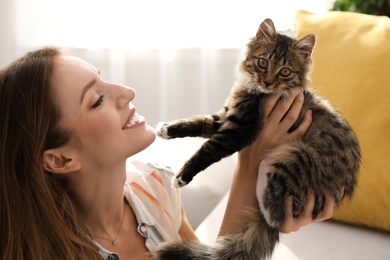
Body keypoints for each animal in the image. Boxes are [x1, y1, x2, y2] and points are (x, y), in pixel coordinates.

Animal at [154, 18, 362, 260]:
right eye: (263, 62)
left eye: (284, 72)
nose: (268, 82)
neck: (254, 91)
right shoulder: (223, 116)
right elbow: (197, 122)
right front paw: (167, 129)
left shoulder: (238, 130)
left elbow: (206, 150)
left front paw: (182, 176)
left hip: (296, 154)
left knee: (275, 217)